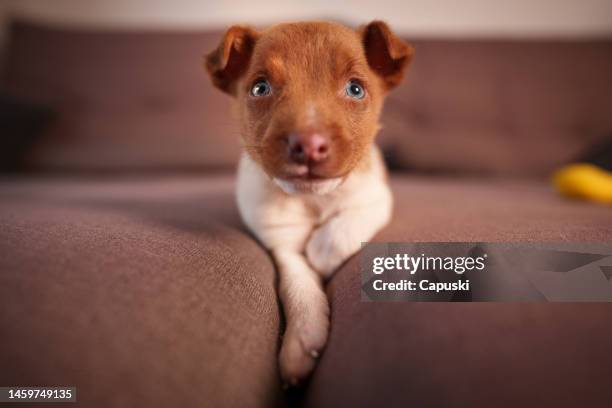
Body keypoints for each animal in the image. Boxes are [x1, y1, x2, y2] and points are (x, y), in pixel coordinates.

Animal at [206, 20, 412, 386]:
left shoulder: (376, 194)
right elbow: (299, 286)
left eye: (355, 89)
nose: (309, 145)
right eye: (260, 88)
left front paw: (323, 250)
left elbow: (348, 223)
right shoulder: (282, 243)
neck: (312, 199)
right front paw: (301, 341)